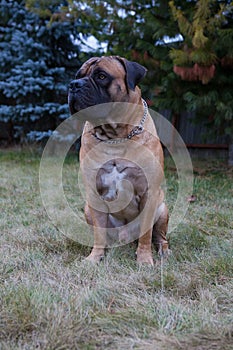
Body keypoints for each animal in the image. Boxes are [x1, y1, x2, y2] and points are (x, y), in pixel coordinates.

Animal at [68, 55, 168, 266]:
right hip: (87, 209)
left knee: (159, 235)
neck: (116, 136)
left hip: (162, 207)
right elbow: (99, 234)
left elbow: (146, 234)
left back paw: (163, 249)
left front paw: (144, 260)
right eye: (78, 75)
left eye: (101, 76)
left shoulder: (149, 194)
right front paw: (94, 258)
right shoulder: (94, 194)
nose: (74, 85)